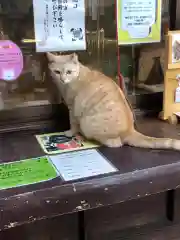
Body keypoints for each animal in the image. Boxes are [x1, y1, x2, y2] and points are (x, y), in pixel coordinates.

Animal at [47, 52, 180, 150]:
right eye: (57, 72)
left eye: (69, 72)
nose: (62, 79)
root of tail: (130, 130)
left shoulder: (73, 108)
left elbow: (73, 124)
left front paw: (70, 133)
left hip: (88, 123)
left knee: (116, 143)